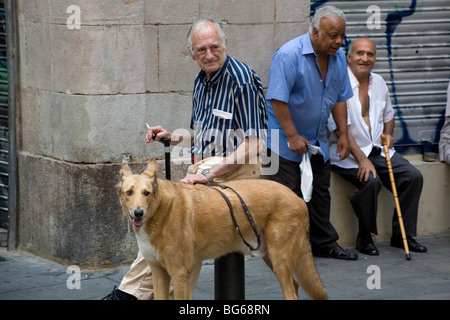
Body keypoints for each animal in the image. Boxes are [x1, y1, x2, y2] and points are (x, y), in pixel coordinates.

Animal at [118, 160, 326, 300]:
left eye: (146, 193)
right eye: (129, 192)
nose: (138, 213)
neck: (161, 210)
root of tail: (299, 199)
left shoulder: (178, 273)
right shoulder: (159, 272)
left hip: (280, 259)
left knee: (291, 293)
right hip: (271, 257)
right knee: (294, 285)